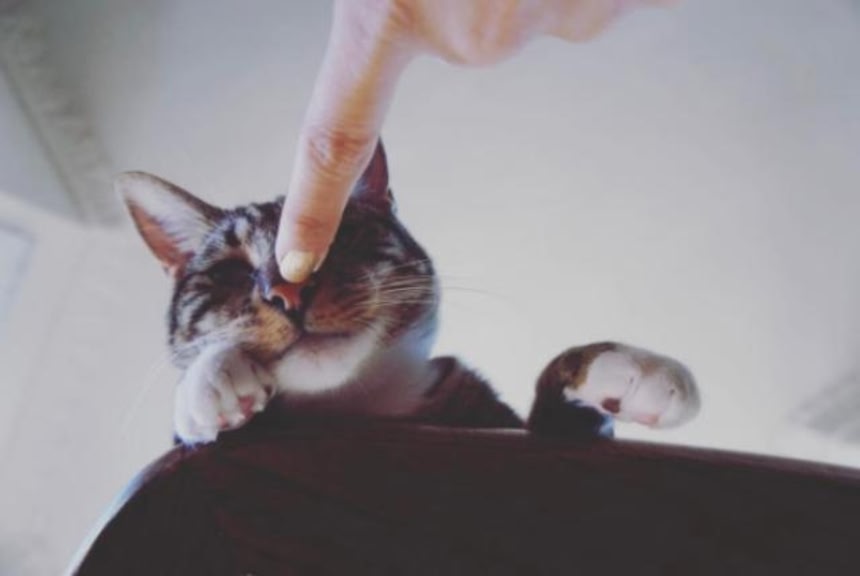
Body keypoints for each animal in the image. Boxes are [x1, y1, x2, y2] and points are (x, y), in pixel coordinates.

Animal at [117, 141, 700, 444]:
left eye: (342, 236)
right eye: (231, 271)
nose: (288, 292)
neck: (357, 408)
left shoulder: (517, 430)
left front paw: (633, 368)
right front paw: (210, 377)